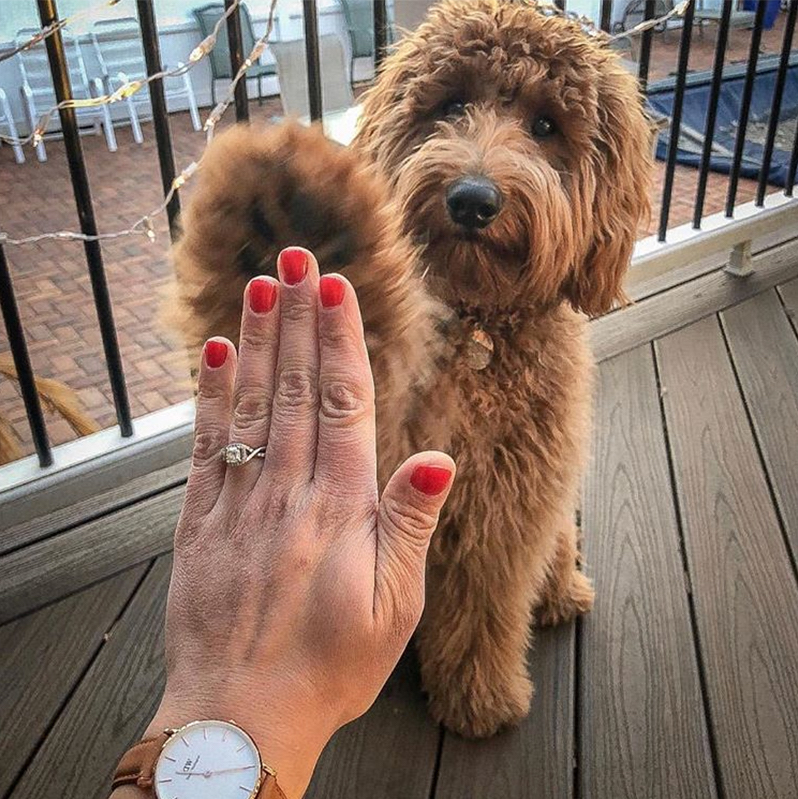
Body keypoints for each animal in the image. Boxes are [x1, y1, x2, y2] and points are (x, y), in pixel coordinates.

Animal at [169, 0, 648, 736]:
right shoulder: (384, 417)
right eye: (450, 104)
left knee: (552, 553)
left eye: (545, 126)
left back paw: (562, 592)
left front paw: (479, 699)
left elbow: (484, 605)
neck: (477, 327)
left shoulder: (506, 502)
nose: (473, 199)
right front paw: (288, 217)